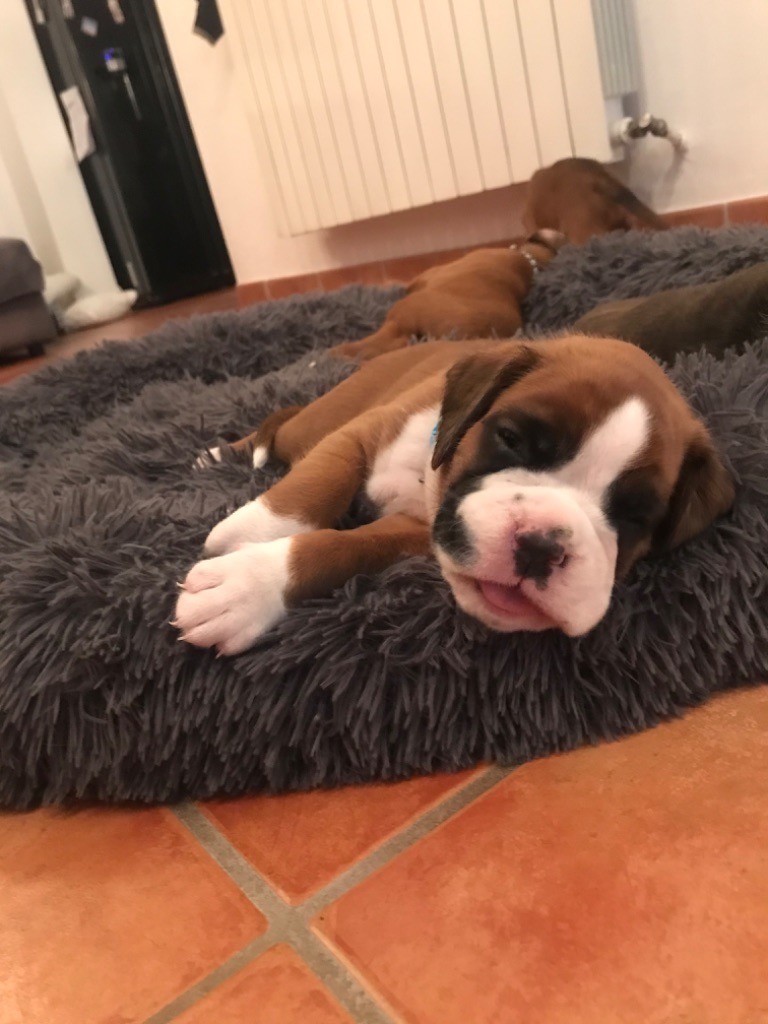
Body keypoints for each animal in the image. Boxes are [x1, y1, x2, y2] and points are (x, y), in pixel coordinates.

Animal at [175, 335, 734, 654]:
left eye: (636, 517)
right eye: (510, 438)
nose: (541, 546)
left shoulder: (413, 532)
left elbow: (340, 548)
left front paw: (248, 586)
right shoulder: (360, 433)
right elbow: (318, 482)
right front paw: (252, 536)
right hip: (317, 421)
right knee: (282, 422)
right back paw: (222, 453)